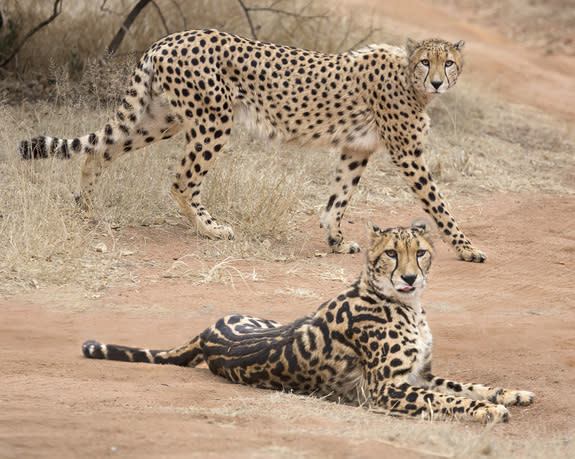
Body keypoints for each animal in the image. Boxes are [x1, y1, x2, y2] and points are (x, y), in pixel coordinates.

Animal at [19, 28, 486, 262]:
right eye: (426, 62)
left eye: (449, 62)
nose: (438, 81)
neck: (409, 79)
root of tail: (168, 37)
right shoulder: (407, 155)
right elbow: (440, 206)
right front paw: (467, 248)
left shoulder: (356, 150)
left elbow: (337, 200)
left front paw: (335, 241)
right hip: (213, 119)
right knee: (182, 180)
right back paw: (210, 228)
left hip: (159, 118)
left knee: (100, 149)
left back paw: (85, 207)